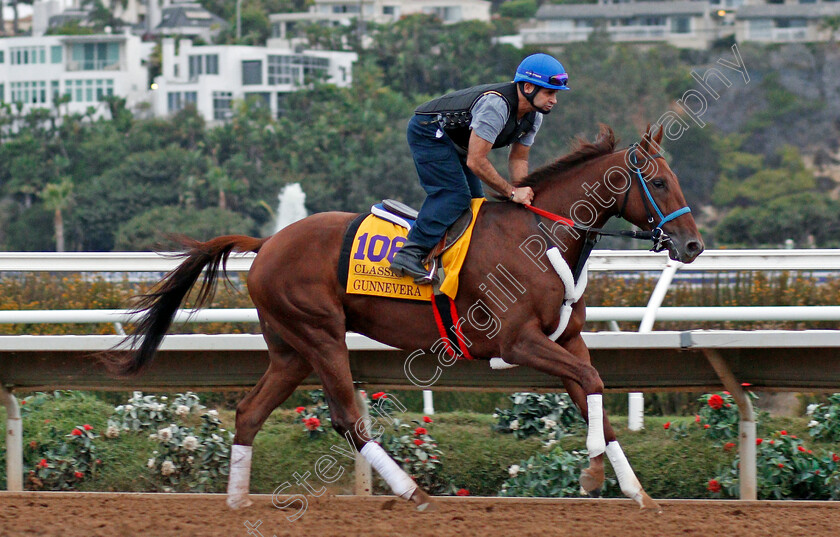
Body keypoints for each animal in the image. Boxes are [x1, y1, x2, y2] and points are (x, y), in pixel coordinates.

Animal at [111, 124, 704, 510]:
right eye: (659, 181)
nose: (692, 244)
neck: (542, 236)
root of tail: (268, 242)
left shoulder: (569, 338)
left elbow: (594, 391)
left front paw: (635, 491)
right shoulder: (515, 341)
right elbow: (590, 384)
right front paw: (593, 474)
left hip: (290, 350)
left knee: (249, 412)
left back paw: (237, 504)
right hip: (321, 335)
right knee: (346, 418)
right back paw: (411, 491)